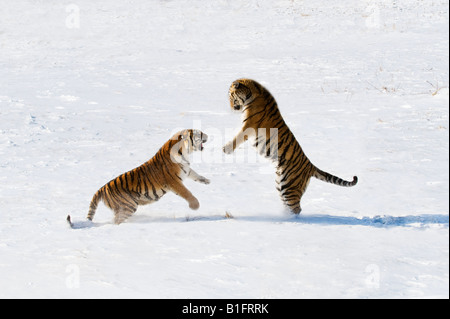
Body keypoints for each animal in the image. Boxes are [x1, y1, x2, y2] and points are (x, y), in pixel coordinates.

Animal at [67, 129, 211, 226]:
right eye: (199, 133)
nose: (208, 135)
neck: (184, 152)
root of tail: (101, 189)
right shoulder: (174, 182)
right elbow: (187, 193)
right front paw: (195, 206)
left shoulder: (186, 170)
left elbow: (195, 175)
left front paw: (206, 181)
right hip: (128, 206)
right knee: (116, 221)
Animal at [223, 79, 356, 216]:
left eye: (231, 96)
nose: (231, 108)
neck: (254, 92)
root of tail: (310, 166)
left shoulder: (249, 125)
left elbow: (237, 137)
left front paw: (225, 149)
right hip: (281, 184)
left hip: (289, 187)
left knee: (296, 208)